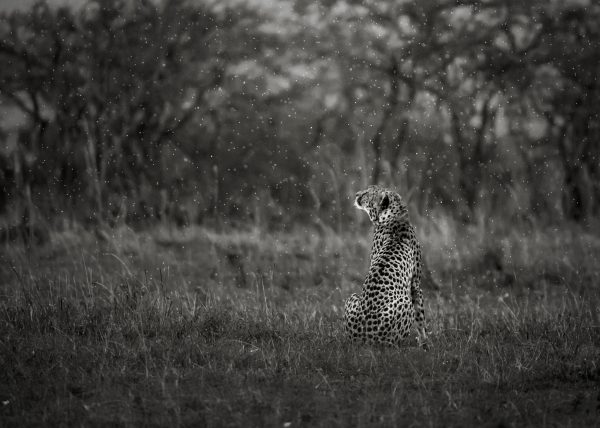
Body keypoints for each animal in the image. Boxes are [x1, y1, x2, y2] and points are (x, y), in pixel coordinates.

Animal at [342, 186, 426, 346]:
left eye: (368, 193)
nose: (356, 194)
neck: (394, 217)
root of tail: (361, 339)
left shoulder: (415, 284)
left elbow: (421, 318)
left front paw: (425, 343)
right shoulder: (416, 284)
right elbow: (421, 319)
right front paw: (425, 344)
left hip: (357, 298)